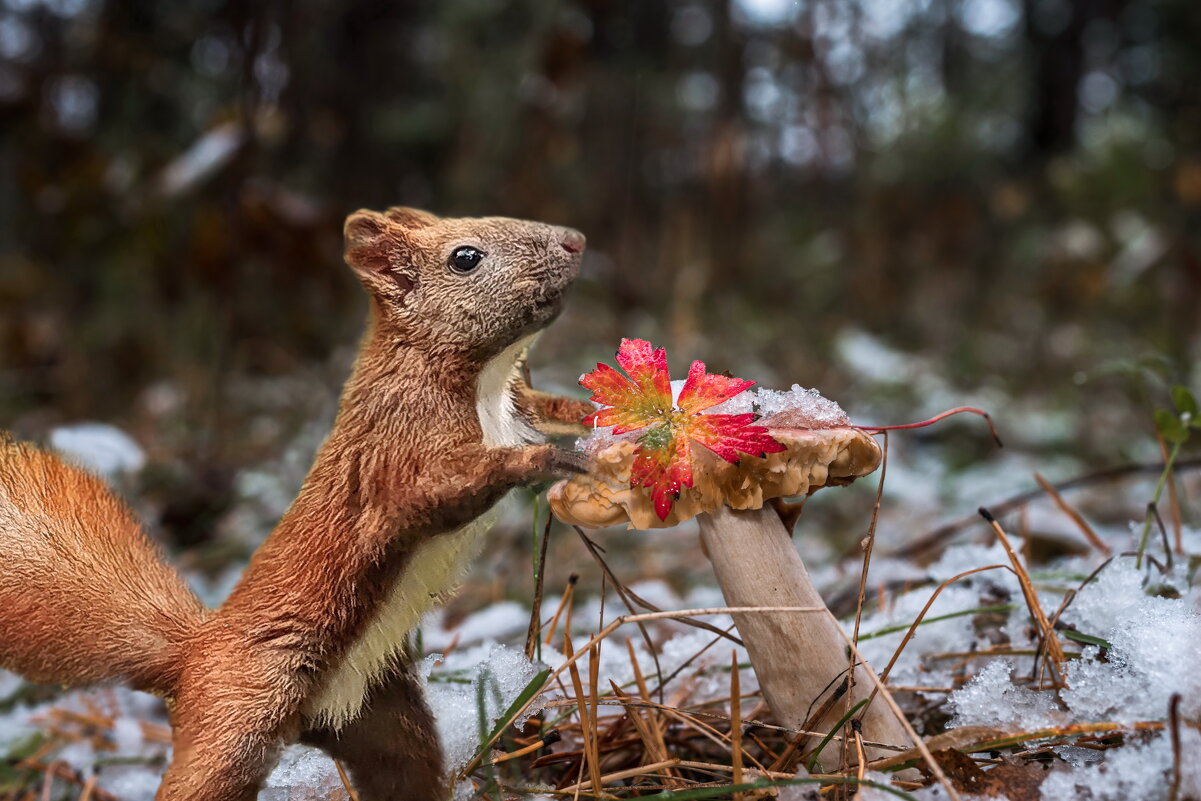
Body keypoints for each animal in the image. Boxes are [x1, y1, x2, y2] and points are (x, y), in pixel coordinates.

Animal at [0, 205, 595, 801]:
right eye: (465, 257)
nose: (575, 241)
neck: (486, 385)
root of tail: (190, 657)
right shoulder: (397, 455)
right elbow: (446, 487)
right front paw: (550, 460)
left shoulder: (518, 404)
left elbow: (551, 407)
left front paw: (599, 417)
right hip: (239, 719)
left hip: (386, 717)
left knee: (406, 769)